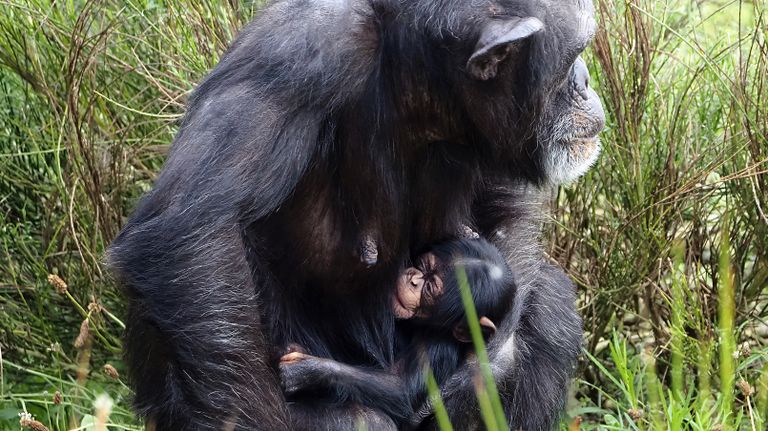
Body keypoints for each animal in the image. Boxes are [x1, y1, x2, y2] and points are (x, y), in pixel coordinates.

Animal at [280, 238, 512, 430]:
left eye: (429, 288)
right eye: (424, 266)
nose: (414, 280)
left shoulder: (440, 343)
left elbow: (401, 388)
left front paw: (306, 370)